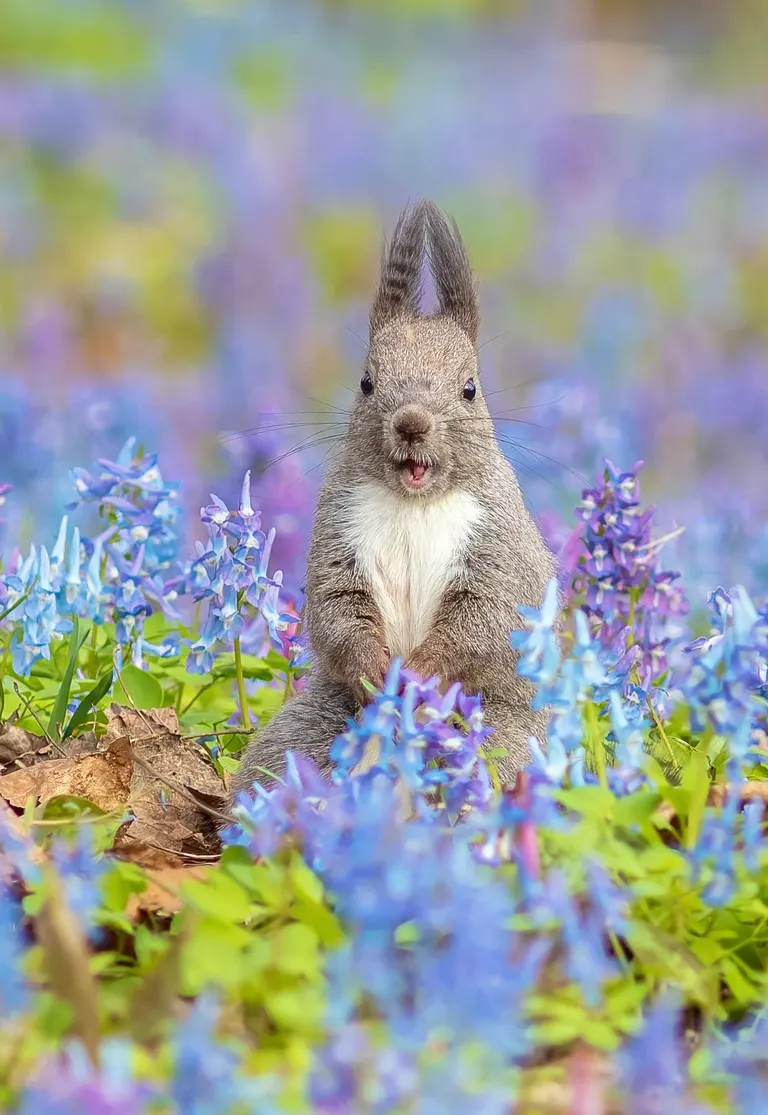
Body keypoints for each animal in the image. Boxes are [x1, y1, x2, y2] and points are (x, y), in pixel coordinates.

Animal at [231, 199, 555, 801]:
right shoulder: (337, 530)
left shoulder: (498, 542)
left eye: (470, 388)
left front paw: (422, 672)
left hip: (501, 741)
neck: (414, 502)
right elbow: (337, 609)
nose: (411, 422)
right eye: (366, 382)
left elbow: (484, 619)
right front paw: (376, 670)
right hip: (303, 738)